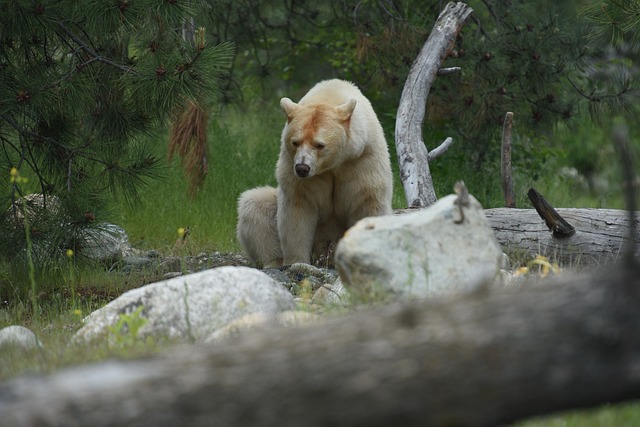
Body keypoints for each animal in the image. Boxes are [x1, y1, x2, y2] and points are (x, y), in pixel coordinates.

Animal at [238, 80, 392, 268]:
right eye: (295, 142)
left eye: (320, 145)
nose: (302, 168)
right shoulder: (295, 169)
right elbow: (298, 208)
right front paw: (296, 261)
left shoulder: (361, 159)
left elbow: (366, 201)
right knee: (255, 205)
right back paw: (275, 262)